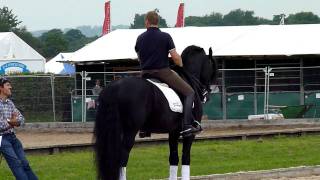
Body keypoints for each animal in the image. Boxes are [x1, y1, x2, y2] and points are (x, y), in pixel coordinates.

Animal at [94, 45, 218, 180]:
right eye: (213, 67)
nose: (207, 95)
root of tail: (115, 87)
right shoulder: (189, 134)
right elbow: (186, 158)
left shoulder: (173, 132)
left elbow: (173, 158)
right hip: (129, 131)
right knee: (122, 159)